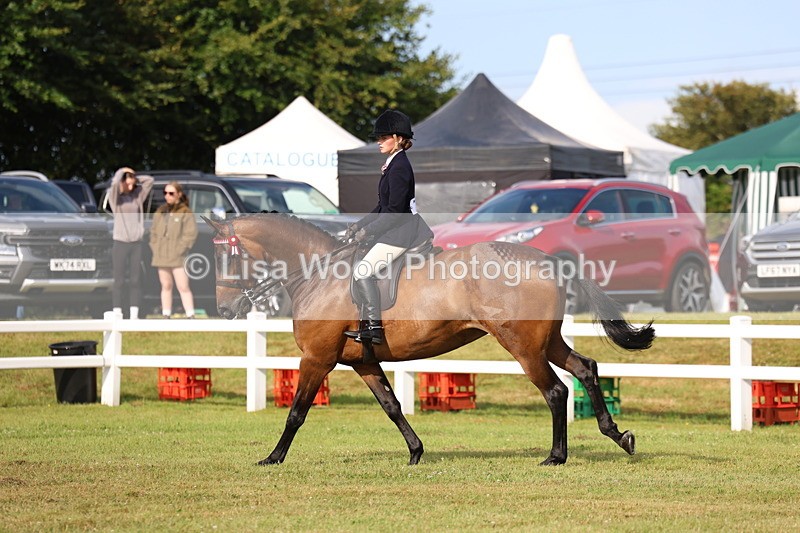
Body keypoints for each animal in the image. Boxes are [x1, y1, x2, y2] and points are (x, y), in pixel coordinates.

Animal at [205, 213, 655, 466]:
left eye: (229, 256)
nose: (224, 310)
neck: (319, 273)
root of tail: (548, 260)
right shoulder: (363, 361)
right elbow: (392, 406)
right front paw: (416, 451)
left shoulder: (317, 358)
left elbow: (296, 413)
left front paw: (273, 457)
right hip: (547, 342)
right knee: (586, 368)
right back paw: (619, 436)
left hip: (524, 347)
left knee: (556, 391)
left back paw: (557, 457)